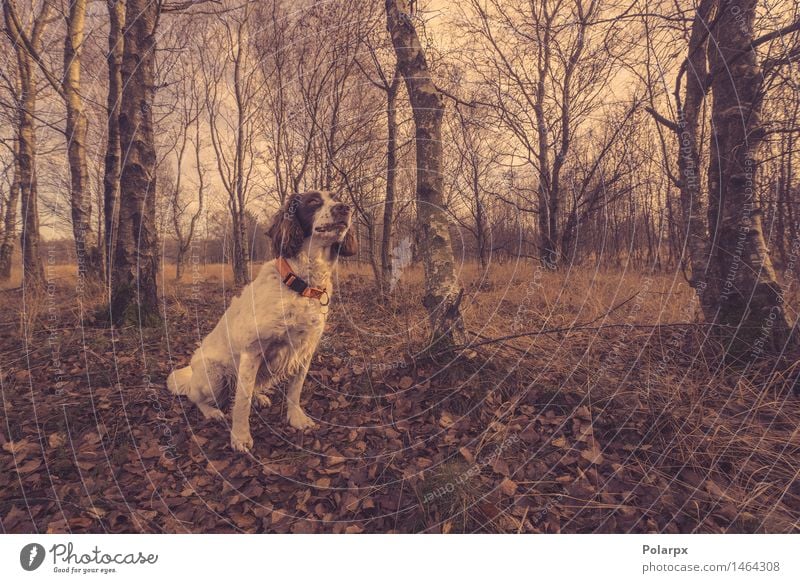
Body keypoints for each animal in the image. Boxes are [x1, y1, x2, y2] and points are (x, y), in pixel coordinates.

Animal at [167, 192, 354, 452]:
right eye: (313, 201)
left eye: (337, 198)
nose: (345, 208)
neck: (301, 285)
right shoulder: (252, 351)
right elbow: (241, 402)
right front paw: (240, 437)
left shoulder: (304, 350)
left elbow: (295, 390)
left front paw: (296, 418)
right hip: (214, 376)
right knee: (196, 398)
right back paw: (212, 412)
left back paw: (259, 397)